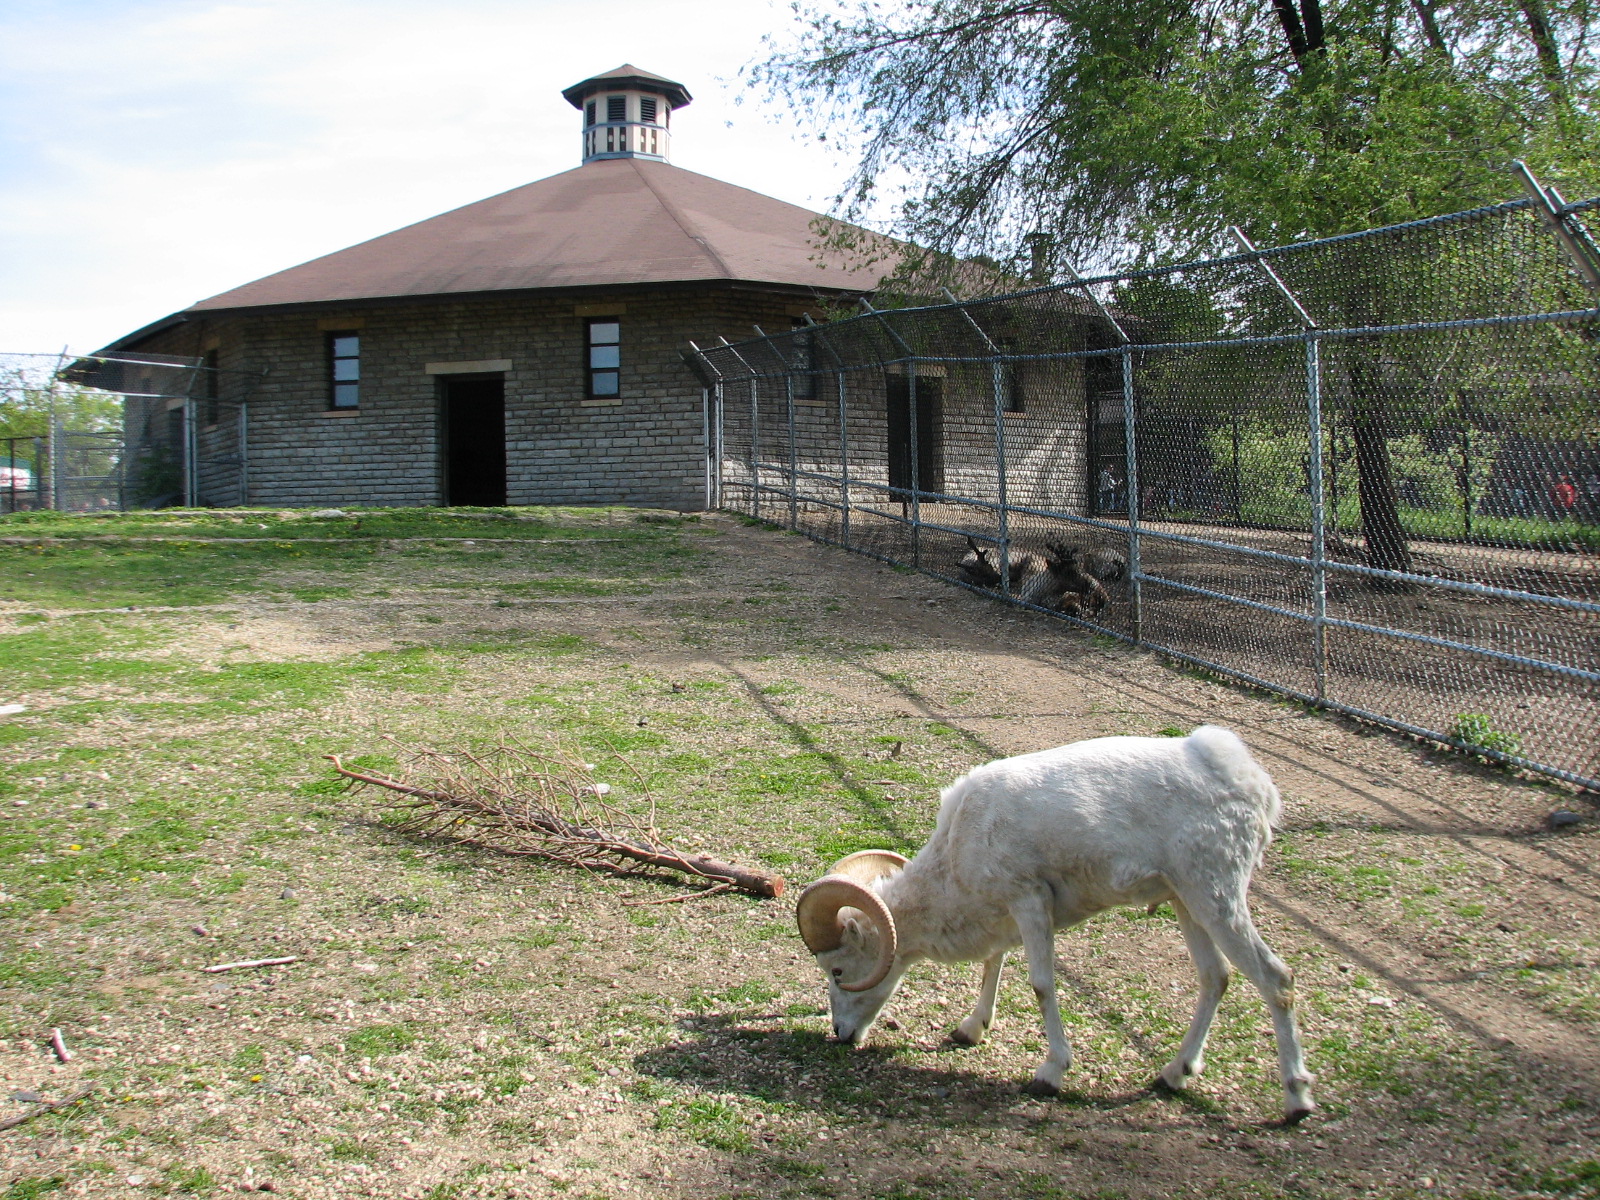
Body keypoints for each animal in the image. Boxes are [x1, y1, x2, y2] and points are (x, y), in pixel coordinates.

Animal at [795, 726, 1316, 1123]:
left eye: (837, 971)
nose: (841, 1034)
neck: (956, 859)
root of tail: (1252, 785)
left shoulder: (1030, 901)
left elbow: (1041, 985)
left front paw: (1050, 1073)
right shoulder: (1010, 910)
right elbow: (993, 963)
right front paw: (970, 1030)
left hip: (1216, 896)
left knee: (1278, 980)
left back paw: (1297, 1101)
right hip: (1187, 903)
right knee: (1215, 978)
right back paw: (1173, 1074)